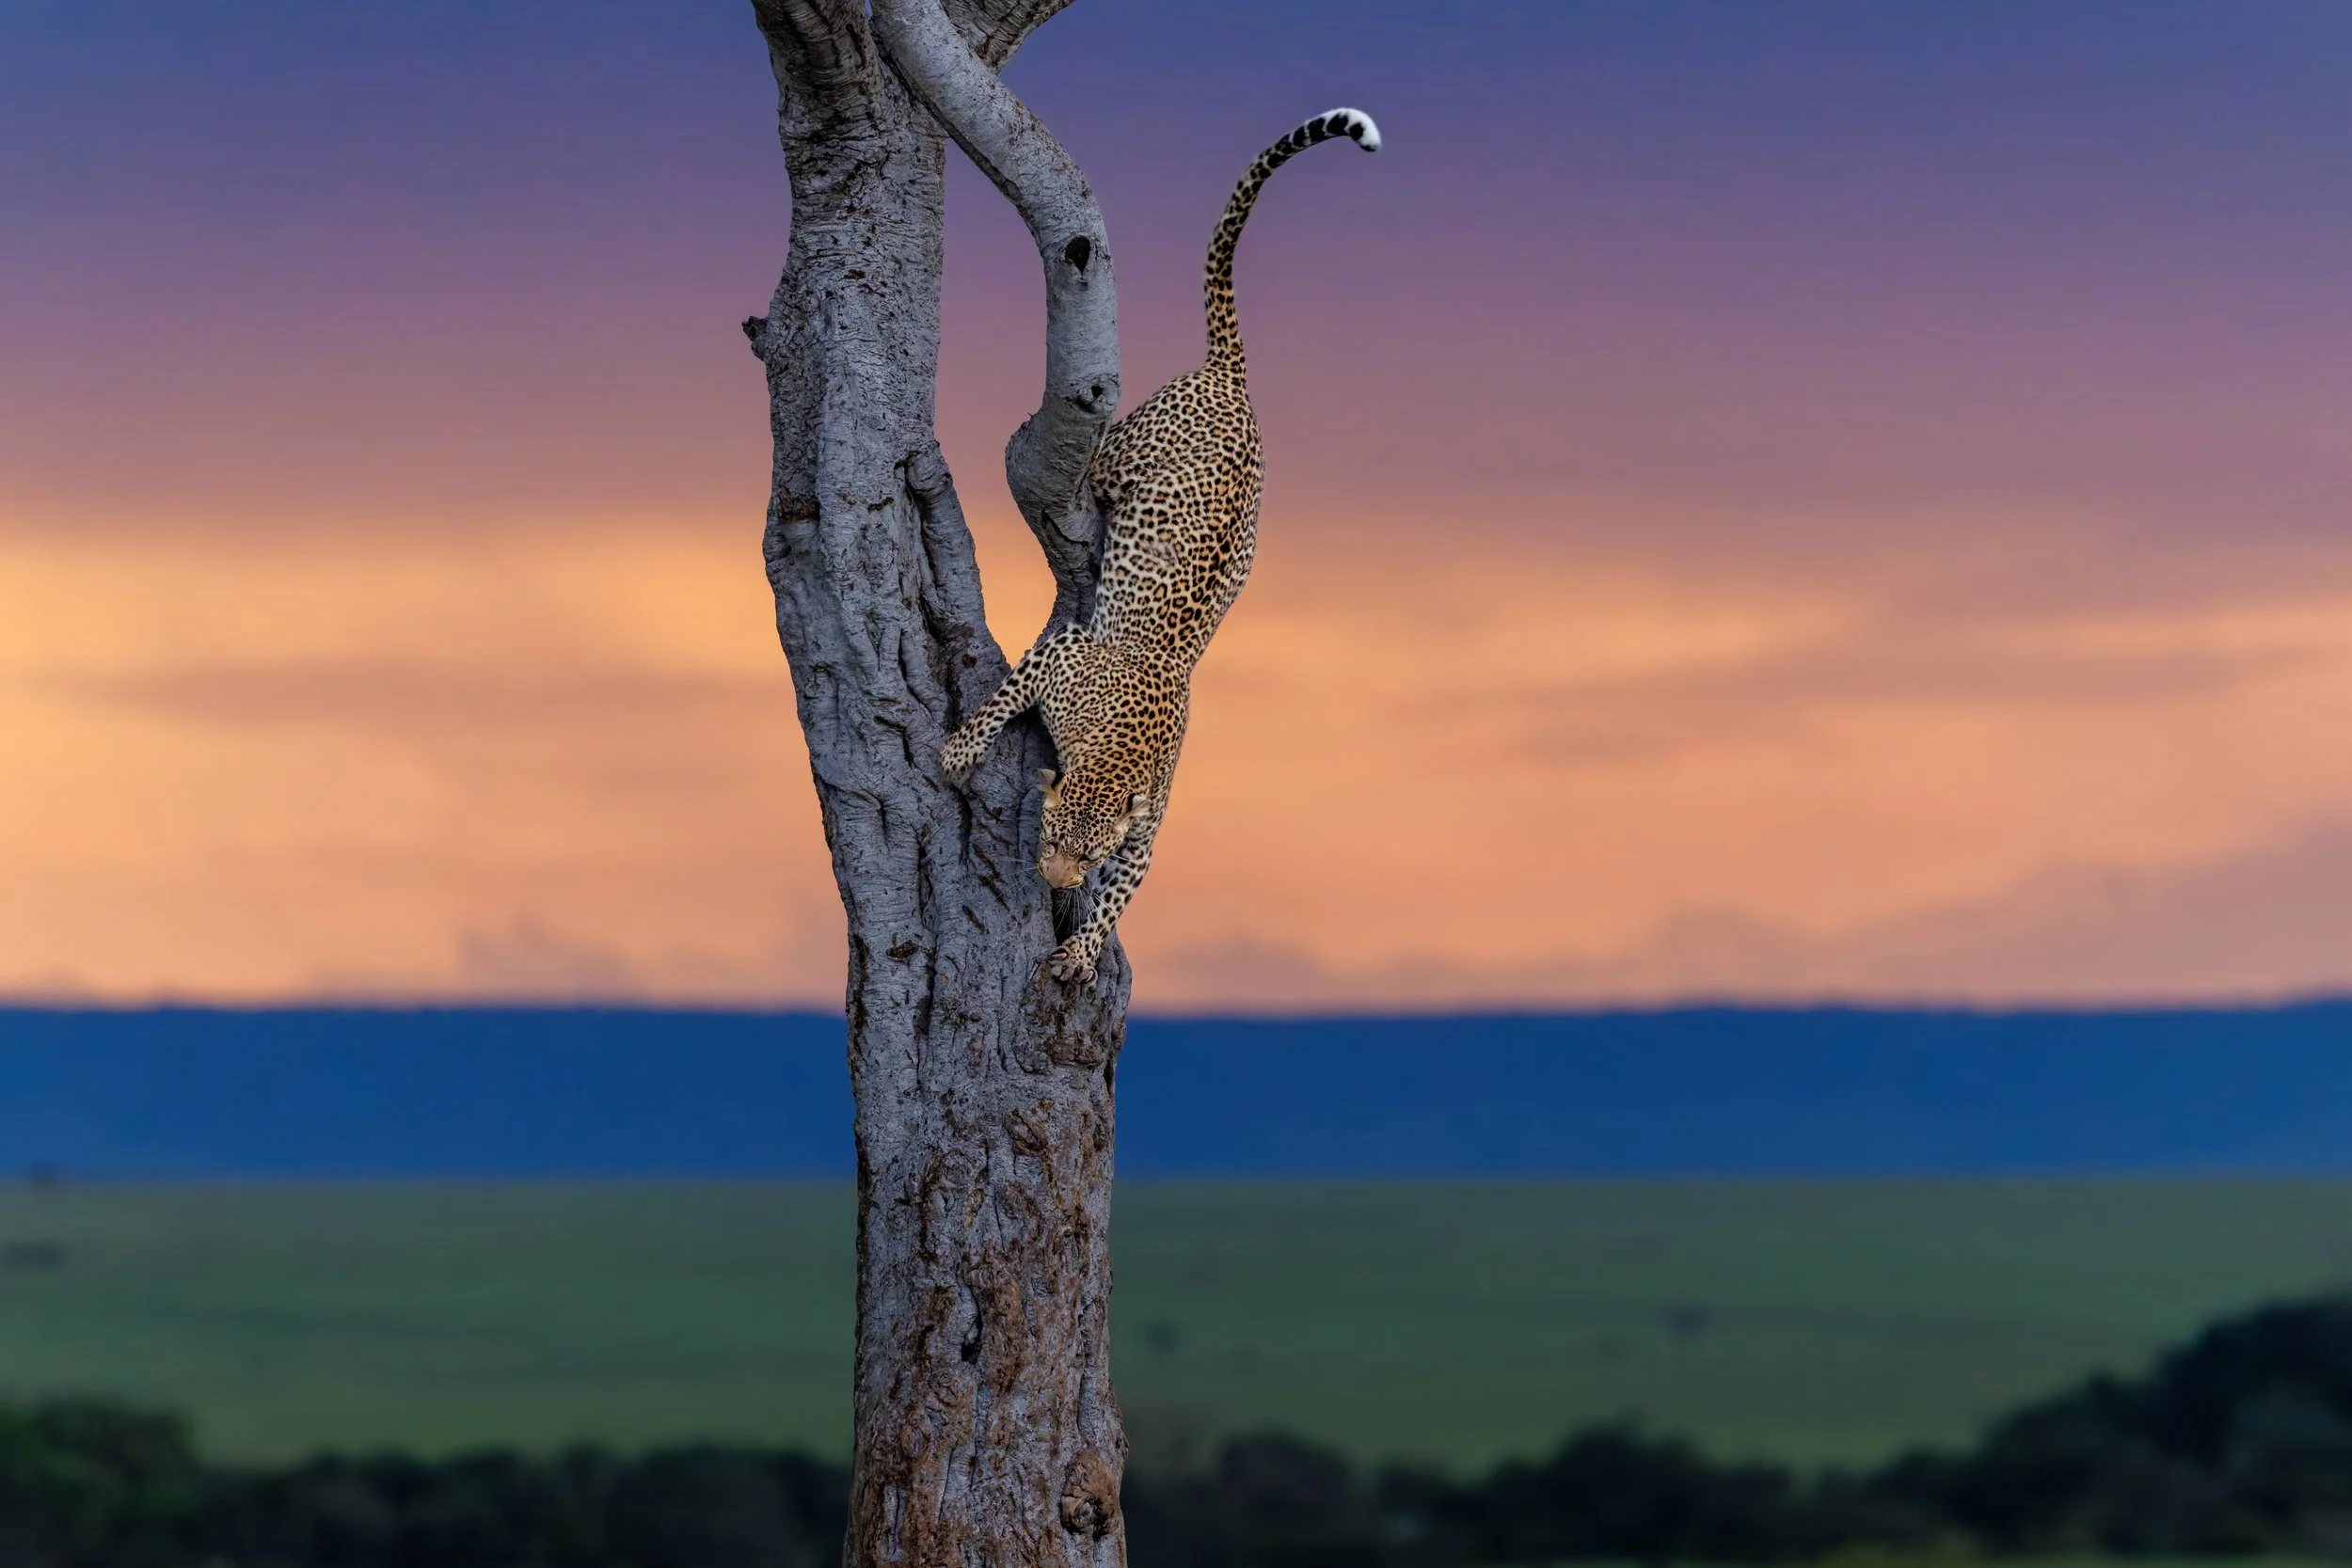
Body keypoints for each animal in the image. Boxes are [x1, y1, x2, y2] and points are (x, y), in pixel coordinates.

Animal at [942, 106, 1382, 980]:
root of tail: (1232, 381)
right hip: (1125, 447)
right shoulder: (1064, 651)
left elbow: (1123, 895)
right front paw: (961, 749)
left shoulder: (1147, 837)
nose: (1053, 880)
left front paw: (1081, 948)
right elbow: (1002, 698)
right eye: (1049, 835)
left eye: (1087, 852)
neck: (1113, 749)